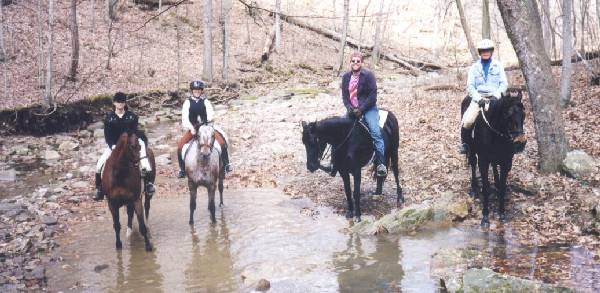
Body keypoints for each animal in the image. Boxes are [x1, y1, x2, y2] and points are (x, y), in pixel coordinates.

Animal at [466, 90, 528, 227]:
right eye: (507, 114)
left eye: (524, 114)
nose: (520, 143)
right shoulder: (483, 161)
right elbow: (485, 188)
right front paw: (485, 217)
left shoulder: (506, 162)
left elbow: (503, 189)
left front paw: (502, 214)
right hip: (472, 151)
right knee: (472, 164)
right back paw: (474, 189)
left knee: (494, 165)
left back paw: (496, 183)